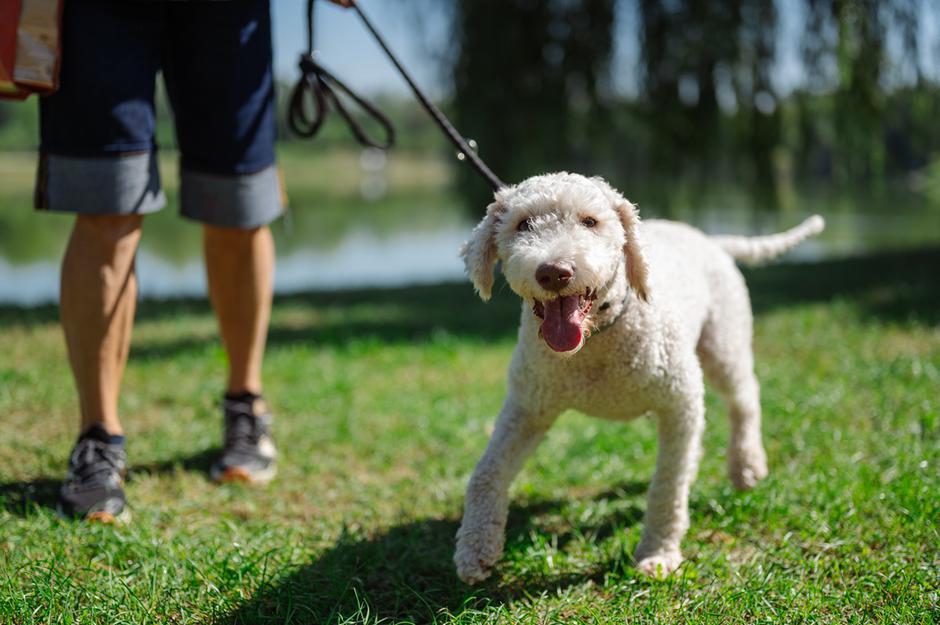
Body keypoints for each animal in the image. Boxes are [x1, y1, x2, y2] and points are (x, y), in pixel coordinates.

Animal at [456, 171, 824, 580]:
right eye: (523, 224)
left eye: (590, 222)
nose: (554, 272)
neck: (598, 338)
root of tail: (707, 239)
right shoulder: (528, 404)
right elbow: (486, 472)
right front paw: (475, 550)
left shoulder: (679, 399)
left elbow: (667, 484)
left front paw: (658, 554)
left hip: (725, 339)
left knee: (744, 396)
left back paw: (746, 465)